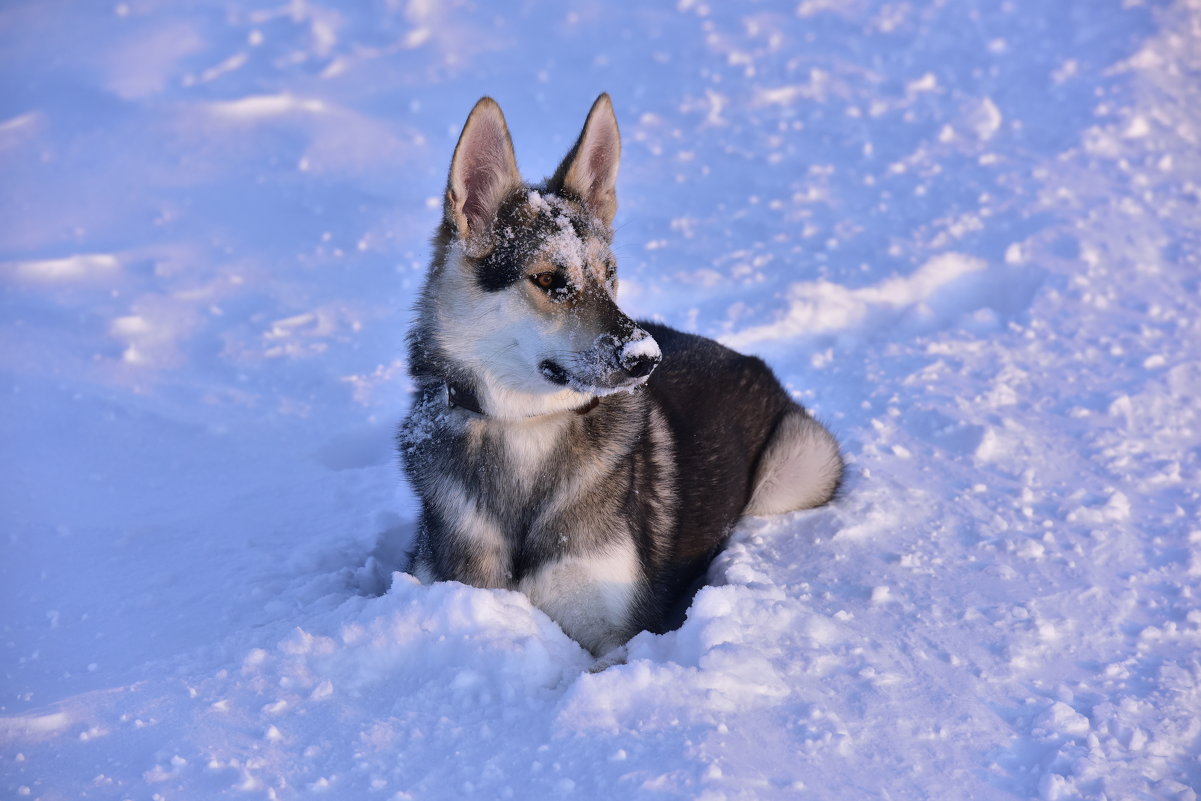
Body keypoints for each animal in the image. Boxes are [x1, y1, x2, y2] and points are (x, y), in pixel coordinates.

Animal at [398, 94, 840, 658]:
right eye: (548, 279)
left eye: (609, 275)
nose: (646, 358)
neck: (524, 429)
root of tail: (742, 356)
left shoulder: (615, 638)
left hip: (804, 470)